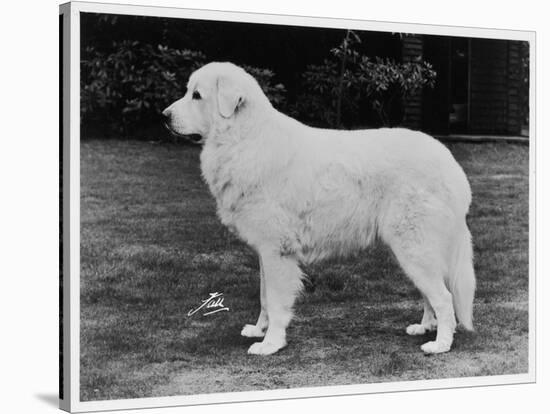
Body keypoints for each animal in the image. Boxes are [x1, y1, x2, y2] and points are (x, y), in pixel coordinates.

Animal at [162, 61, 476, 356]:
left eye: (197, 96)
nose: (164, 116)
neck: (243, 139)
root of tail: (451, 165)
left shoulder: (277, 251)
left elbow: (275, 301)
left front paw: (270, 344)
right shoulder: (265, 250)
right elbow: (264, 298)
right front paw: (258, 330)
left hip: (414, 247)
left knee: (444, 297)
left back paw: (440, 344)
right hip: (415, 251)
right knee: (432, 294)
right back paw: (425, 327)